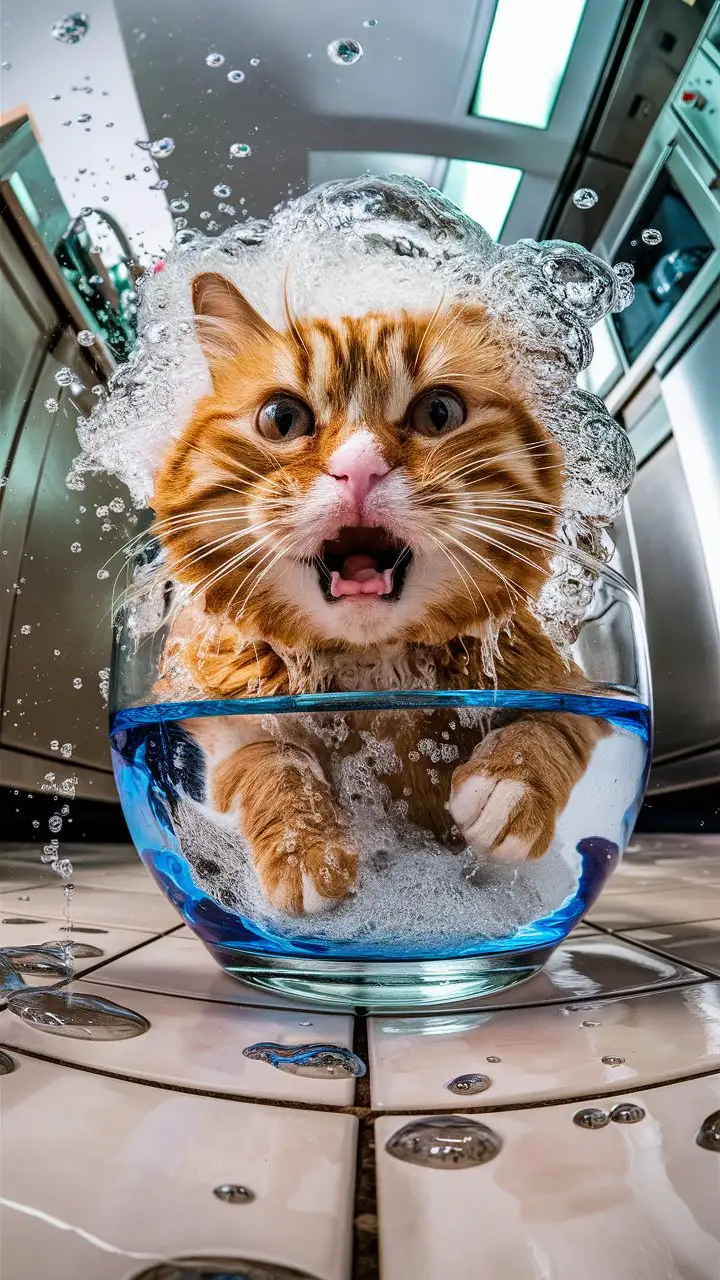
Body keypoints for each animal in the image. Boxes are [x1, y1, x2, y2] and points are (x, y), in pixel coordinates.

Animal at [149, 272, 604, 911]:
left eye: (438, 412)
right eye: (282, 419)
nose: (359, 468)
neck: (373, 676)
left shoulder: (580, 690)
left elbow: (553, 726)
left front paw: (511, 782)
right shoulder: (208, 704)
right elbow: (269, 756)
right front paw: (301, 840)